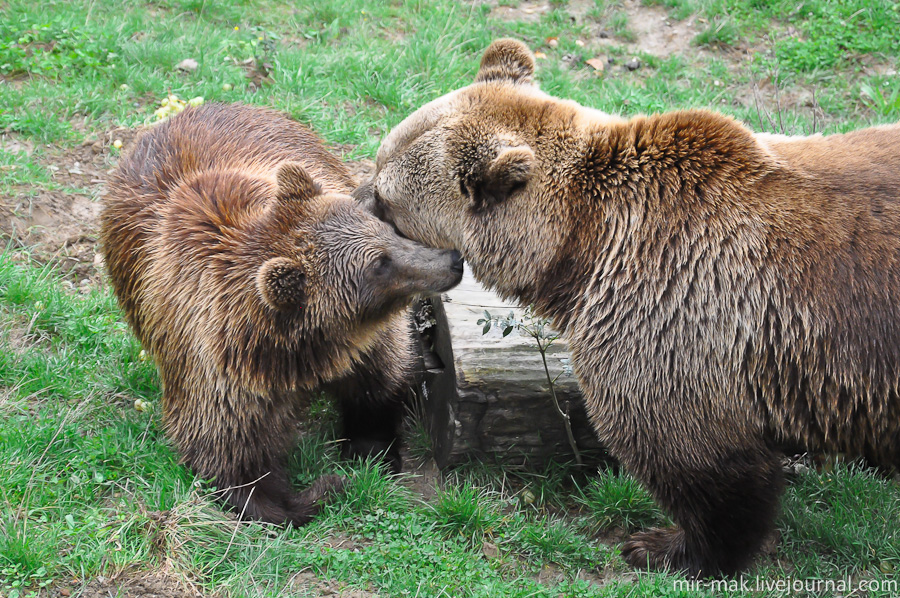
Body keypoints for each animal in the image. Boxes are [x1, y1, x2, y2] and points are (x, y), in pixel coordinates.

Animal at [102, 105, 460, 528]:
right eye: (380, 264)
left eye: (385, 231)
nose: (452, 259)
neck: (298, 352)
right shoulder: (220, 371)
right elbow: (228, 454)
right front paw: (312, 492)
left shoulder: (367, 343)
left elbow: (380, 386)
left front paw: (370, 452)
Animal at [366, 39, 900, 580]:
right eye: (380, 163)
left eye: (387, 197)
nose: (360, 202)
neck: (579, 249)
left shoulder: (675, 311)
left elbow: (692, 455)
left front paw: (666, 547)